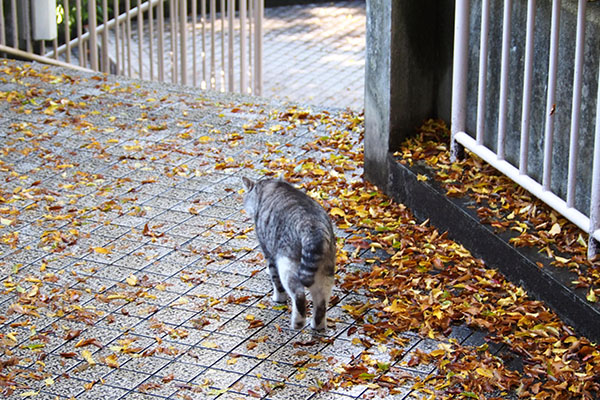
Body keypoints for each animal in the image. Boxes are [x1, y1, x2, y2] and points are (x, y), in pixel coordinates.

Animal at [241, 178, 336, 332]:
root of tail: (313, 226)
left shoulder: (268, 250)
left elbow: (275, 278)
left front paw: (279, 297)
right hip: (326, 270)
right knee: (321, 301)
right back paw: (318, 325)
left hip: (287, 263)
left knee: (299, 294)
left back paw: (298, 322)